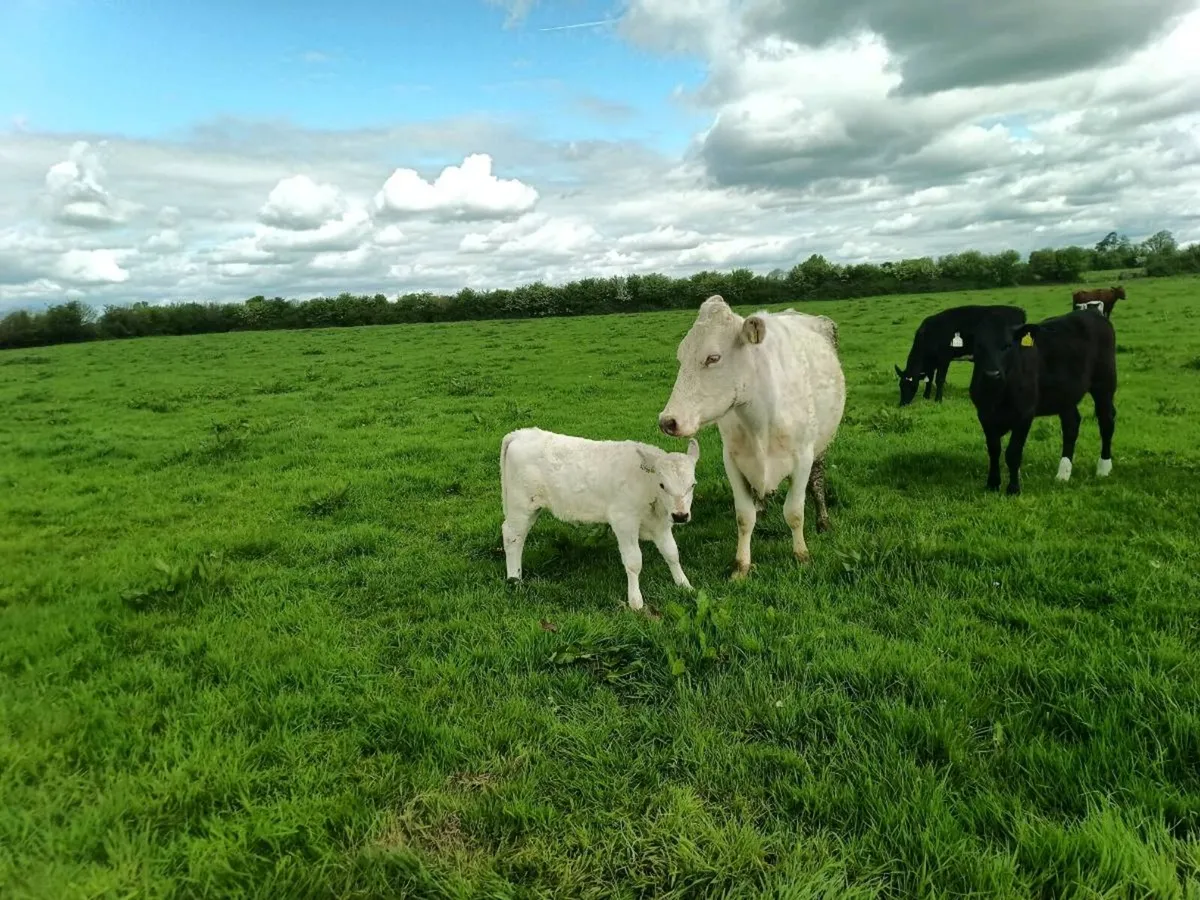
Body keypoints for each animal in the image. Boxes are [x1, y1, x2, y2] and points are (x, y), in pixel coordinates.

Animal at [500, 427, 699, 611]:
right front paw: (636, 601)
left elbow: (672, 553)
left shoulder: (661, 523)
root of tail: (520, 433)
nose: (680, 515)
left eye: (692, 484)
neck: (646, 484)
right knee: (512, 536)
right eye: (662, 485)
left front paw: (685, 585)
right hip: (521, 504)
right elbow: (634, 561)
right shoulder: (623, 520)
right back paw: (515, 579)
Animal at [657, 295, 845, 579]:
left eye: (713, 357)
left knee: (818, 481)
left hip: (821, 445)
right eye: (681, 356)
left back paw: (823, 521)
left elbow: (794, 512)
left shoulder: (803, 457)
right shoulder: (732, 460)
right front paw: (741, 565)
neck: (760, 420)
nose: (668, 421)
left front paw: (801, 556)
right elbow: (744, 517)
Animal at [895, 304, 1027, 405]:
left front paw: (938, 400)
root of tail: (1018, 310)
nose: (902, 403)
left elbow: (939, 379)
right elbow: (929, 379)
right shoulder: (932, 362)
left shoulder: (944, 359)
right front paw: (926, 396)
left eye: (912, 385)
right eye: (901, 385)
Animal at [968, 308, 1117, 495]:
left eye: (1007, 346)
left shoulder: (1025, 413)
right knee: (1071, 425)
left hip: (1104, 383)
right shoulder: (984, 413)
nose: (991, 374)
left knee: (1106, 421)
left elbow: (1013, 453)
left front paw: (1013, 489)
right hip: (1065, 395)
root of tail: (1092, 312)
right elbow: (994, 449)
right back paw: (1063, 473)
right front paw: (992, 484)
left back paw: (1104, 468)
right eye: (978, 346)